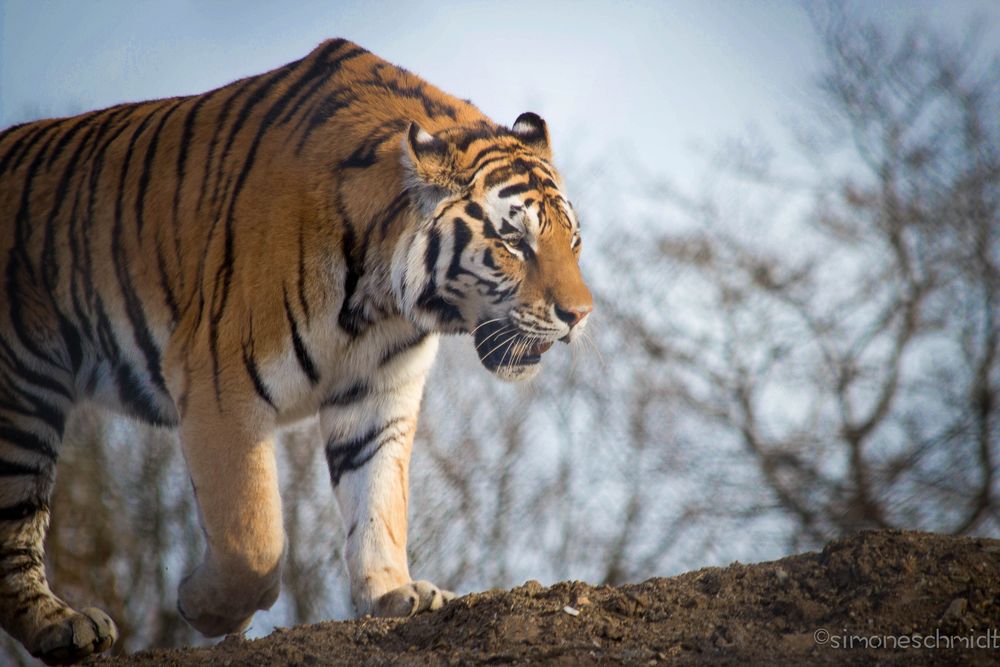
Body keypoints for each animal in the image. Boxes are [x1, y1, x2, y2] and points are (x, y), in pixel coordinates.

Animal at [0, 39, 588, 664]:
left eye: (573, 241)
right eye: (514, 241)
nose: (581, 315)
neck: (377, 302)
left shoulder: (377, 394)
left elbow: (378, 499)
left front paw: (395, 593)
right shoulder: (219, 386)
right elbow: (252, 537)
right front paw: (203, 608)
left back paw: (63, 629)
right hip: (24, 394)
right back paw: (72, 627)